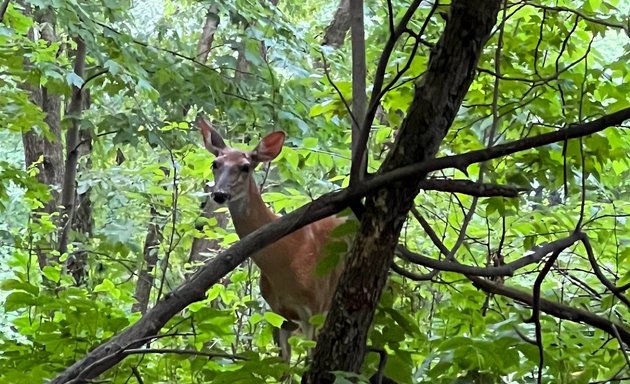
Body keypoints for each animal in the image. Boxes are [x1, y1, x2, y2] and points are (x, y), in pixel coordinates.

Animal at [198, 117, 346, 360]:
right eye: (215, 164)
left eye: (245, 167)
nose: (219, 194)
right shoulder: (279, 314)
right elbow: (283, 364)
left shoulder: (314, 306)